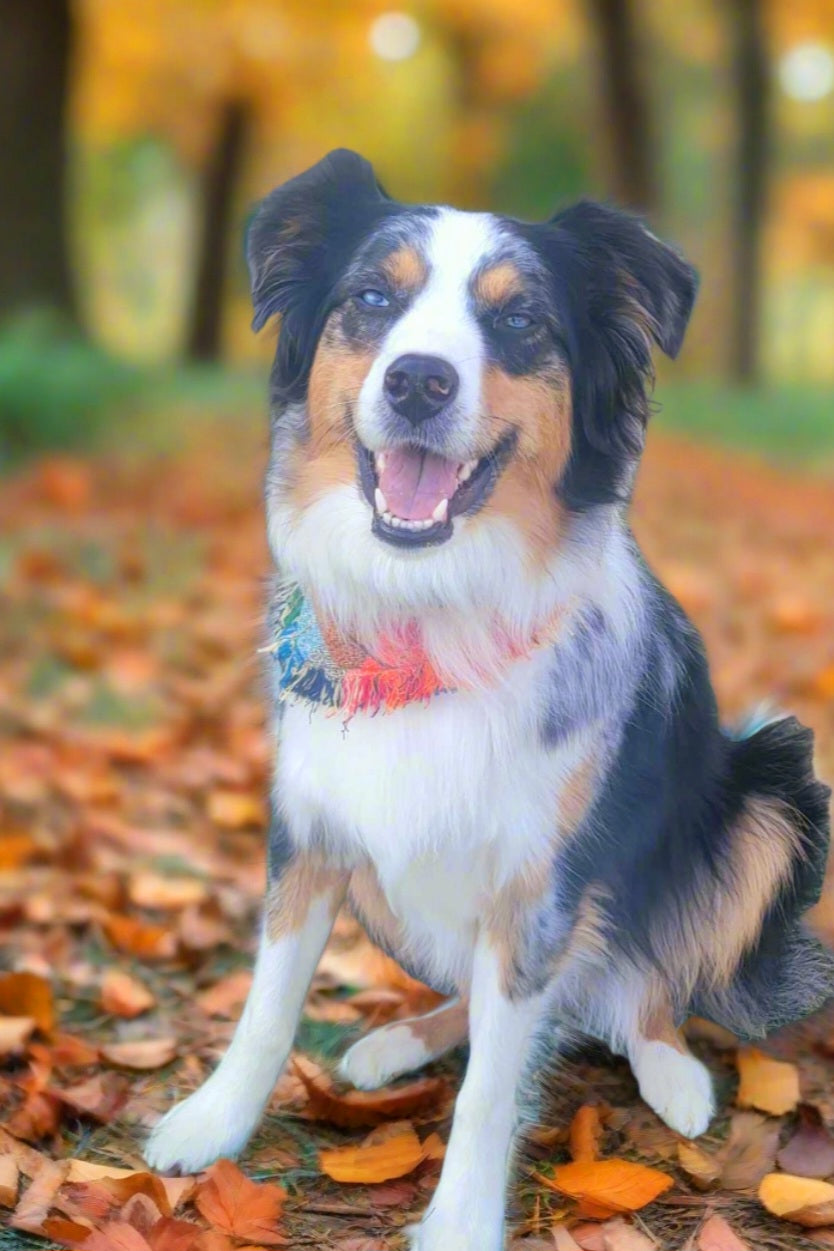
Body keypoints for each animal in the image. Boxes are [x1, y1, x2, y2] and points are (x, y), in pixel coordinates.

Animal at [146, 148, 830, 1251]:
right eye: (372, 299)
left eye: (518, 320)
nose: (419, 379)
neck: (431, 612)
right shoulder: (314, 828)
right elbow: (267, 1002)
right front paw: (213, 1122)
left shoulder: (535, 889)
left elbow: (491, 1089)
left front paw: (461, 1219)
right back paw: (398, 1044)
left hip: (771, 787)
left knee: (640, 987)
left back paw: (672, 1071)